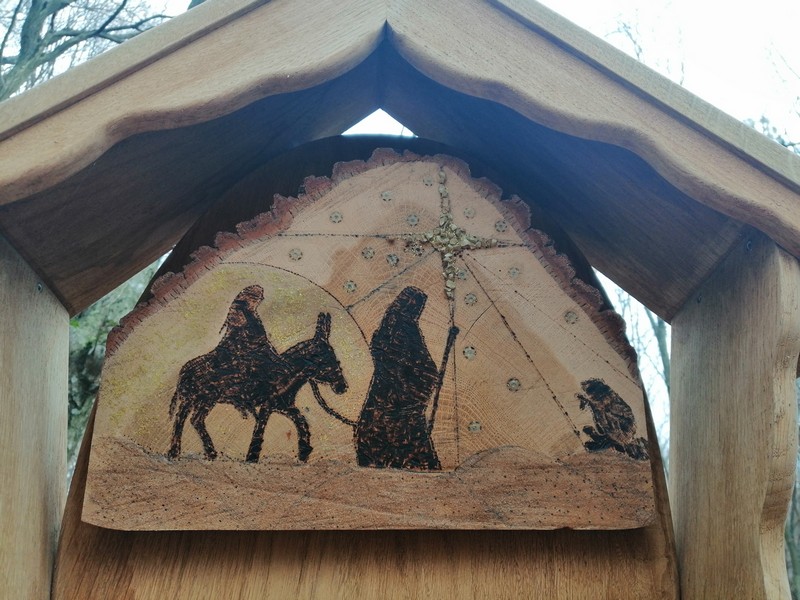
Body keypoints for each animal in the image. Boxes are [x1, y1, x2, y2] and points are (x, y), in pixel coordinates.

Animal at [167, 312, 348, 463]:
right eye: (327, 362)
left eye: (337, 361)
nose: (342, 387)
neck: (286, 374)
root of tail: (184, 370)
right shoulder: (267, 406)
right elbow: (259, 431)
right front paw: (251, 458)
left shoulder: (285, 406)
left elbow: (301, 421)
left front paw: (304, 453)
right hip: (203, 400)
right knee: (189, 420)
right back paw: (193, 453)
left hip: (196, 400)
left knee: (187, 420)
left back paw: (187, 453)